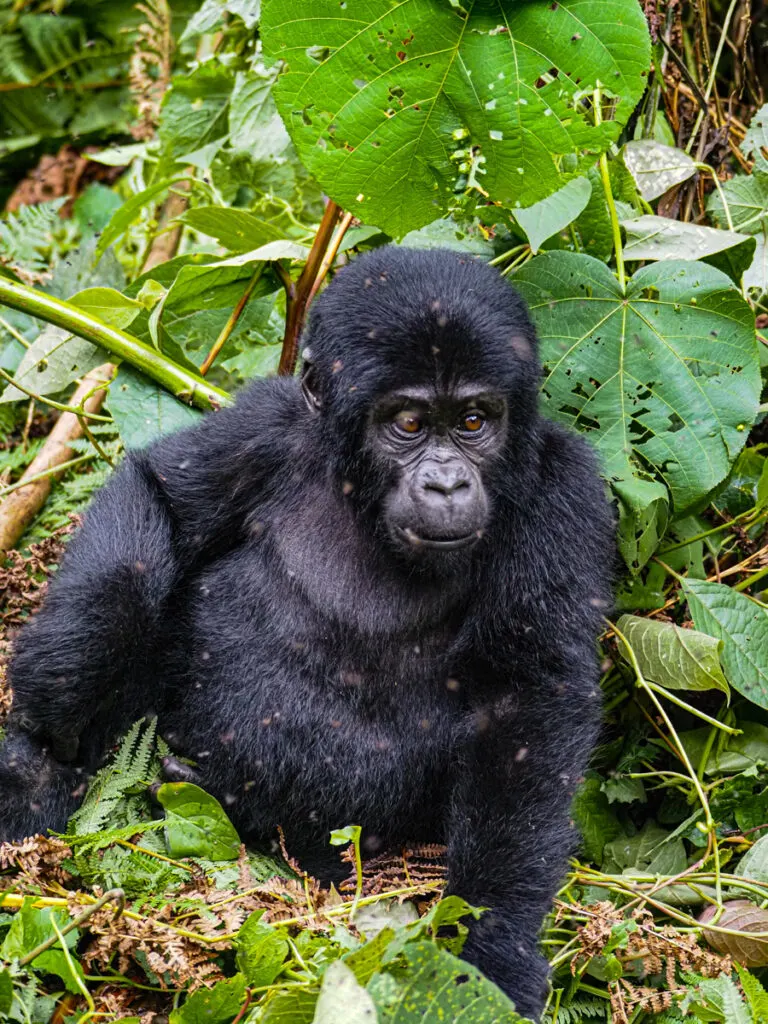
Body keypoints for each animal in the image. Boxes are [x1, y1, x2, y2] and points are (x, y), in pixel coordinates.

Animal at [0, 245, 614, 1015]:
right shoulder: (270, 422)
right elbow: (159, 496)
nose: (446, 485)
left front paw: (493, 944)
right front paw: (66, 683)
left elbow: (527, 704)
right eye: (409, 425)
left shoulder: (566, 493)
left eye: (474, 421)